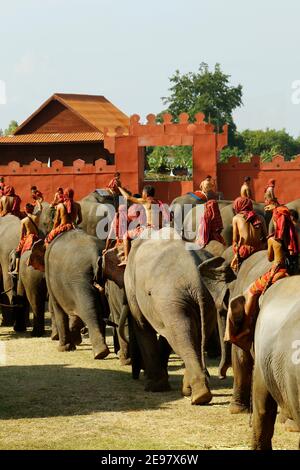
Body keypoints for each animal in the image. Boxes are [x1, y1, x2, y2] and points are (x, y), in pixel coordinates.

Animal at [44, 229, 109, 358]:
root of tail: (96, 254)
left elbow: (59, 311)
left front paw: (64, 348)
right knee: (99, 311)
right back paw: (102, 351)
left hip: (80, 282)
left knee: (89, 310)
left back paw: (100, 353)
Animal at [116, 233, 236, 406]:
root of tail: (195, 279)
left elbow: (143, 326)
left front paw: (154, 387)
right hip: (206, 301)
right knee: (191, 335)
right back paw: (195, 392)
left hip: (171, 298)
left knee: (180, 336)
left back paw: (197, 395)